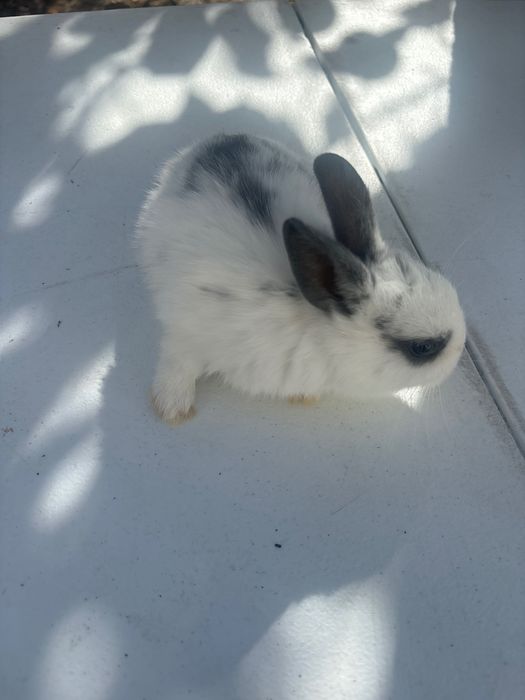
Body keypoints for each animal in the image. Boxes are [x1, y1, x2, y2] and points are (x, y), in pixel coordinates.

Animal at [136, 133, 466, 425]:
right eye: (422, 347)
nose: (461, 351)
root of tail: (217, 140)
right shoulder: (186, 331)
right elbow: (177, 363)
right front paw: (172, 410)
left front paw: (304, 397)